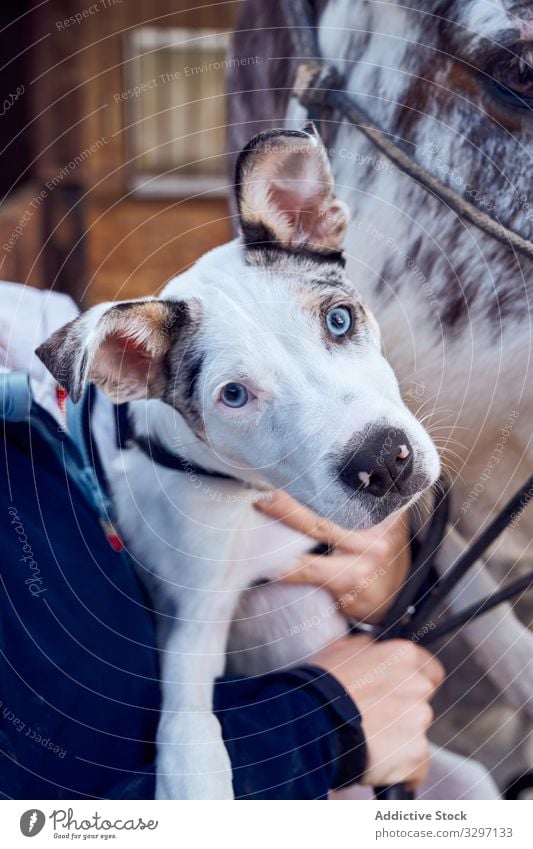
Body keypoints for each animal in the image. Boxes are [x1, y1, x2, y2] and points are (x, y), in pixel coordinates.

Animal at [37, 122, 440, 800]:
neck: (246, 494)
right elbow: (189, 735)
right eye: (233, 396)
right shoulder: (192, 613)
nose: (385, 462)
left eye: (340, 320)